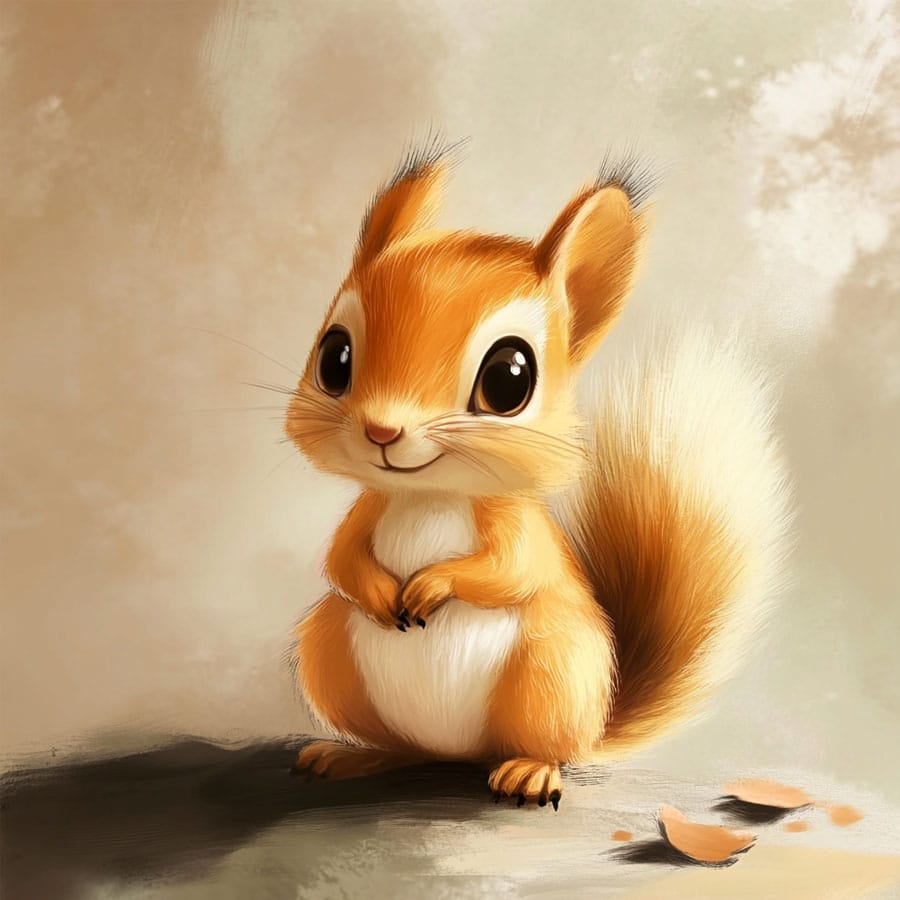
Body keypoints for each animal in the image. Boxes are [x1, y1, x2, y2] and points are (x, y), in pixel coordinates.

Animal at [284, 139, 791, 809]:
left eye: (509, 379)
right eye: (334, 358)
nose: (382, 431)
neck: (430, 495)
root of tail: (459, 754)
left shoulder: (522, 530)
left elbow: (509, 569)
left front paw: (432, 585)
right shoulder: (367, 509)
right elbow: (340, 559)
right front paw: (377, 590)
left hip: (553, 669)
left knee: (545, 746)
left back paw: (529, 772)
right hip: (328, 651)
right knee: (403, 747)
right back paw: (352, 756)